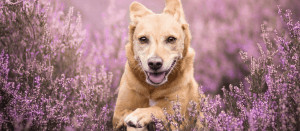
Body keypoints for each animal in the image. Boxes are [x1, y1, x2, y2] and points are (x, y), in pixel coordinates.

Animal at [112, 0, 199, 130]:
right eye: (143, 39)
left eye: (171, 39)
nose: (154, 63)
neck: (152, 89)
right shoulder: (118, 113)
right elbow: (128, 113)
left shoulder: (175, 116)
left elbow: (158, 109)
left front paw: (139, 115)